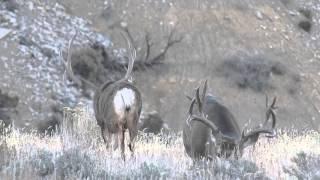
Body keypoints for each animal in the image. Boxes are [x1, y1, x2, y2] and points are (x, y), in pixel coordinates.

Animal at [63, 29, 142, 160]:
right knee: (131, 144)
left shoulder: (101, 121)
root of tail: (126, 95)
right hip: (134, 119)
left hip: (114, 120)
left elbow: (109, 144)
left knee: (119, 144)